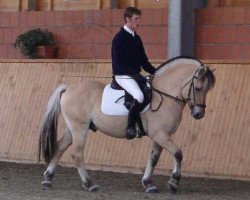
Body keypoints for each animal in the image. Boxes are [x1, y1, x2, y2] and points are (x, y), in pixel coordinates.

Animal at [38, 56, 215, 194]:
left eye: (207, 90)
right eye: (198, 88)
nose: (199, 114)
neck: (164, 96)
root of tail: (68, 89)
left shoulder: (161, 136)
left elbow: (154, 158)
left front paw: (148, 183)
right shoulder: (161, 135)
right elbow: (178, 153)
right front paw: (174, 182)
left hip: (73, 128)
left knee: (60, 147)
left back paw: (48, 178)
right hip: (79, 128)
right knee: (77, 153)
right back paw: (90, 184)